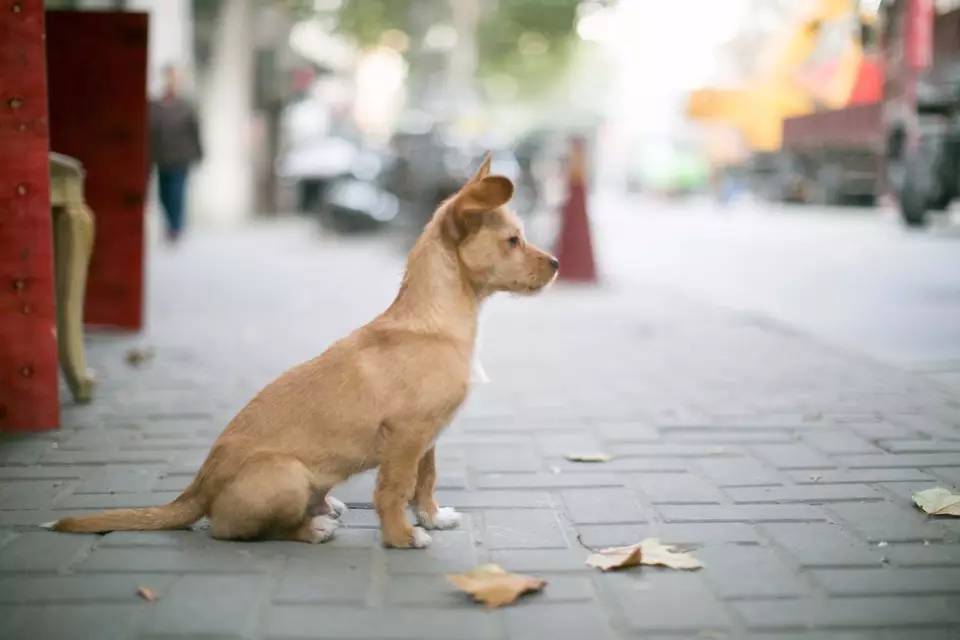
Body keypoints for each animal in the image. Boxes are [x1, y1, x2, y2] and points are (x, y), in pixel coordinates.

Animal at [45, 156, 560, 552]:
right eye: (513, 241)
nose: (557, 264)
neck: (436, 319)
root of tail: (198, 488)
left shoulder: (428, 438)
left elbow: (425, 482)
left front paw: (432, 517)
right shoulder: (407, 435)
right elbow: (395, 489)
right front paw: (401, 537)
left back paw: (327, 507)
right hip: (286, 475)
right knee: (231, 530)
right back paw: (312, 528)